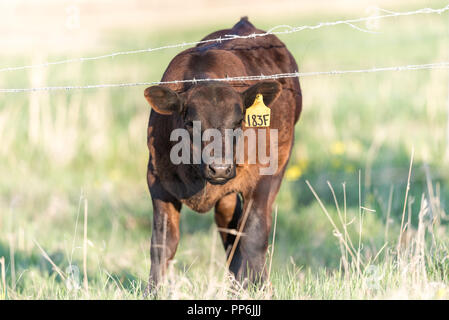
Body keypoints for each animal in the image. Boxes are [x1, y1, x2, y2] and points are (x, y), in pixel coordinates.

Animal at [144, 17, 300, 292]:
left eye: (239, 122)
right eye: (189, 122)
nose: (219, 168)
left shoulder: (262, 179)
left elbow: (254, 236)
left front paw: (259, 288)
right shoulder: (158, 182)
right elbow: (162, 244)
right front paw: (153, 291)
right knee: (229, 228)